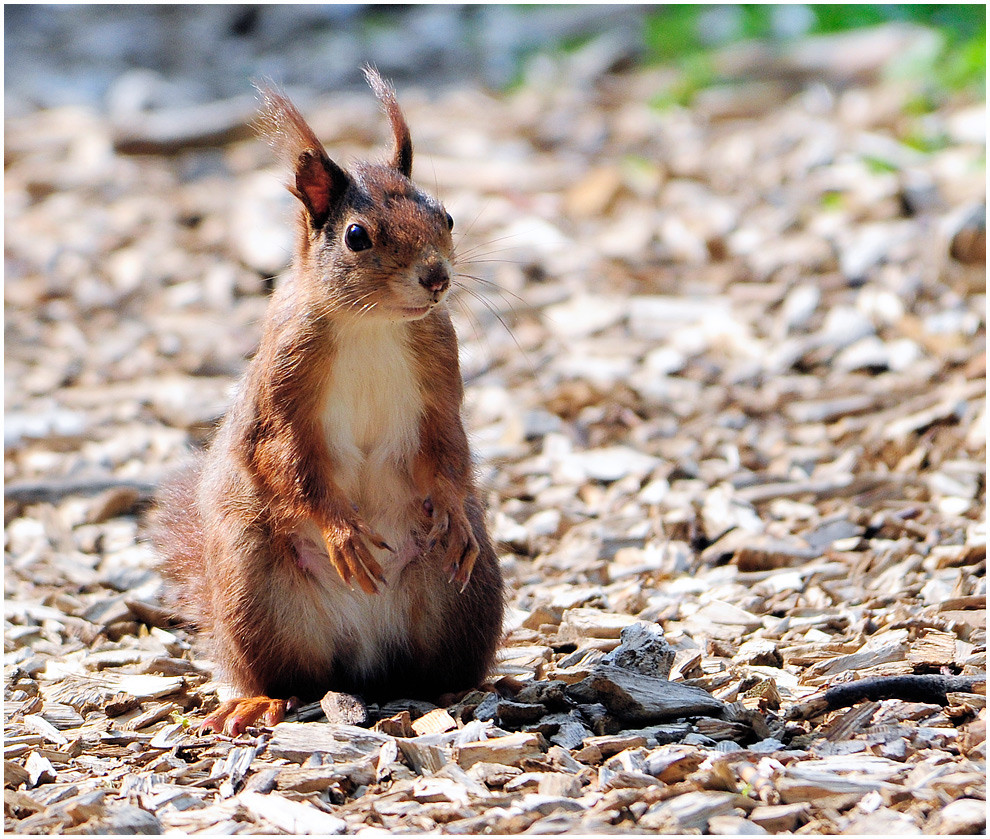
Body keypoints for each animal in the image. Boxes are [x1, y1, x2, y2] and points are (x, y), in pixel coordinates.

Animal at [155, 67, 512, 736]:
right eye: (356, 236)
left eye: (447, 216)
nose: (436, 278)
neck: (373, 323)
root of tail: (364, 662)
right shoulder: (282, 383)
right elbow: (283, 459)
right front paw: (341, 532)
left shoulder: (439, 375)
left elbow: (449, 446)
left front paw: (451, 505)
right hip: (253, 587)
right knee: (289, 676)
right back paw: (258, 701)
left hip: (469, 595)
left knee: (433, 664)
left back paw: (463, 687)